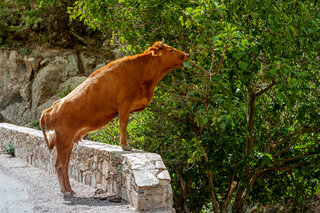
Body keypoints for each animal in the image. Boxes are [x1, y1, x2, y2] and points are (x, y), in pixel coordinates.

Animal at [38, 39, 189, 196]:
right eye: (171, 50)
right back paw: (66, 191)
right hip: (64, 140)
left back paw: (70, 190)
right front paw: (125, 146)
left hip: (68, 142)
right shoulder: (124, 104)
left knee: (66, 163)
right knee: (60, 164)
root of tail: (51, 108)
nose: (187, 55)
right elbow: (123, 125)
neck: (141, 73)